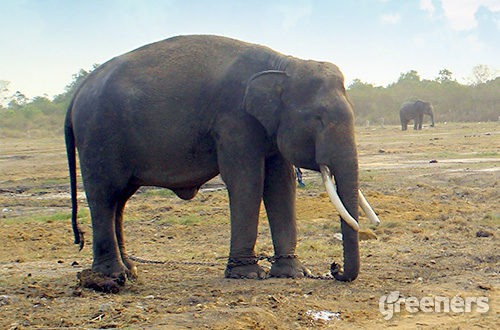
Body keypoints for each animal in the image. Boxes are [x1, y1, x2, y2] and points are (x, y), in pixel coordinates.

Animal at [65, 34, 378, 292]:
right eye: (318, 119)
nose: (334, 268)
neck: (285, 64)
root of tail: (77, 92)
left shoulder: (268, 127)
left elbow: (281, 184)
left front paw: (294, 273)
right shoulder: (234, 119)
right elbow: (247, 179)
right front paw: (248, 274)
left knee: (120, 200)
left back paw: (130, 271)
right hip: (98, 135)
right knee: (104, 196)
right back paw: (111, 278)